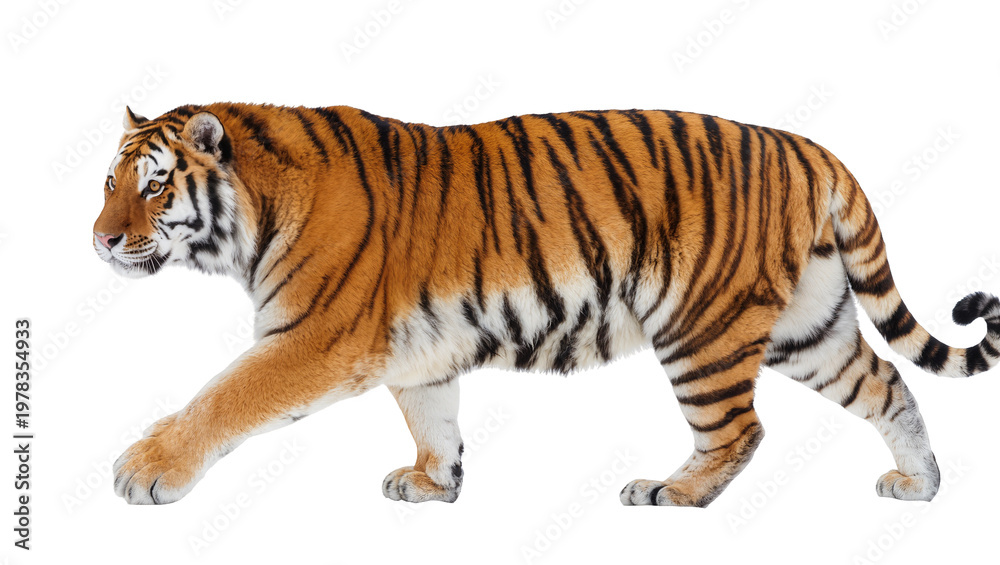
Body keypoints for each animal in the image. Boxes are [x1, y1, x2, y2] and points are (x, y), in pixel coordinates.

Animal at [93, 102, 999, 507]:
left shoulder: (312, 337)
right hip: (807, 324)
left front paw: (146, 469)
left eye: (154, 186)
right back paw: (920, 482)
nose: (100, 240)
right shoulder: (415, 350)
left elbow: (223, 395)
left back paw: (672, 493)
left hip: (701, 327)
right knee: (887, 382)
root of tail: (807, 145)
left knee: (740, 428)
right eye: (108, 183)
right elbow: (433, 417)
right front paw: (435, 484)